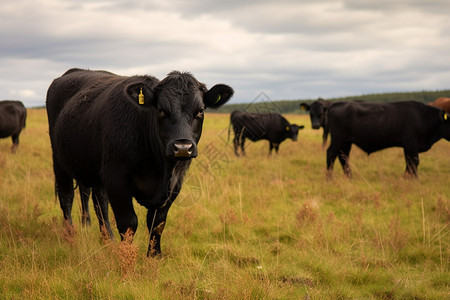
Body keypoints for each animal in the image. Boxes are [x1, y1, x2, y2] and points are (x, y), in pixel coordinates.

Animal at [47, 68, 234, 255]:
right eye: (161, 110)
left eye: (200, 110)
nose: (182, 147)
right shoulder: (116, 180)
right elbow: (128, 223)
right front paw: (126, 258)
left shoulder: (174, 185)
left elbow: (157, 223)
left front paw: (154, 257)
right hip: (59, 161)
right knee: (67, 197)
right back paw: (70, 236)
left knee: (100, 202)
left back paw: (107, 239)